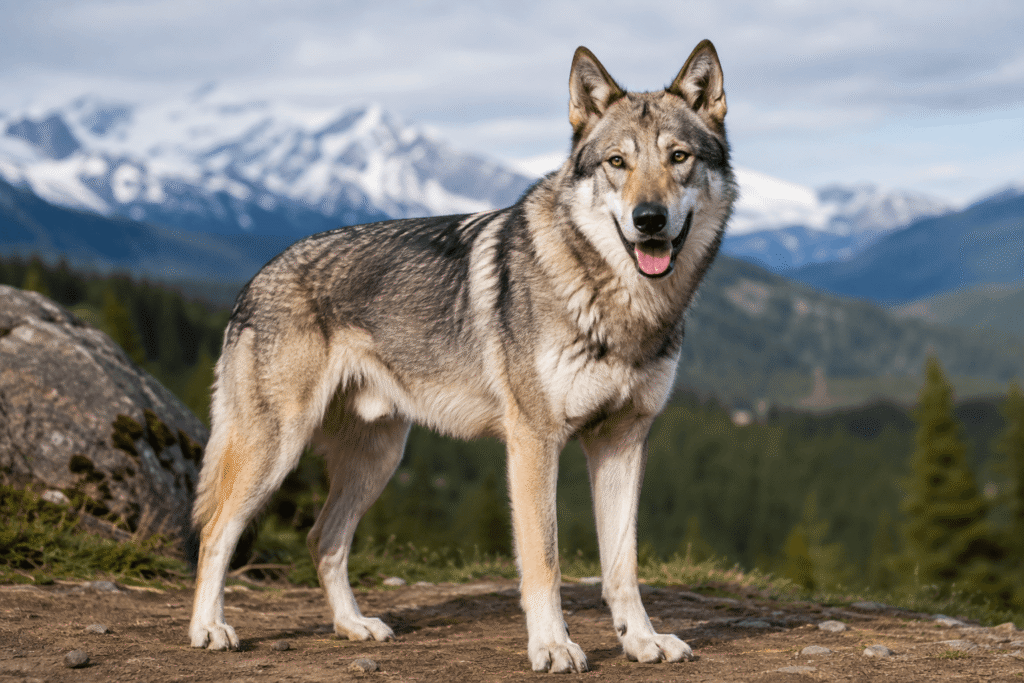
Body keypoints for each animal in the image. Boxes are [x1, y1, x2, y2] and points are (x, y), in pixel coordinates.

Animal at [189, 40, 735, 673]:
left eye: (678, 157)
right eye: (617, 163)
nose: (648, 220)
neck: (621, 304)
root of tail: (254, 279)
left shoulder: (624, 440)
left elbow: (623, 565)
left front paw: (642, 641)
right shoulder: (534, 442)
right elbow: (544, 560)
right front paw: (552, 646)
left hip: (377, 458)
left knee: (322, 538)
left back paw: (354, 627)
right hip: (275, 449)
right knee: (216, 531)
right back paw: (209, 629)